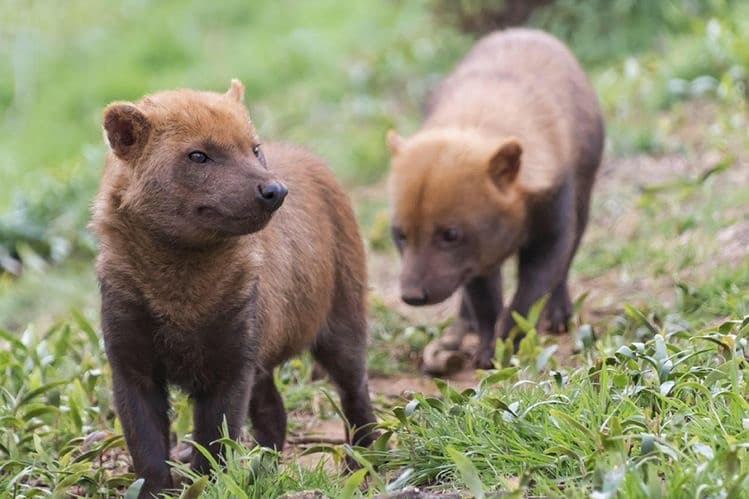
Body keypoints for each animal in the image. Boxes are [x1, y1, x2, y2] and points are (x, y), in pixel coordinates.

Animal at [91, 81, 376, 496]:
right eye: (198, 155)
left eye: (253, 148)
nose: (275, 190)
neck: (181, 301)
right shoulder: (130, 360)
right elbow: (145, 445)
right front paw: (158, 490)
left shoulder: (233, 357)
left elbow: (215, 439)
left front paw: (210, 483)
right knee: (275, 412)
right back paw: (264, 471)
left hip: (343, 317)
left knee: (355, 388)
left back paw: (364, 462)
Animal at [386, 28, 600, 372]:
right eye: (399, 234)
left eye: (450, 234)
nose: (412, 296)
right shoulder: (477, 258)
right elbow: (486, 303)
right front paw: (487, 351)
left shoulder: (554, 222)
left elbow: (531, 291)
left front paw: (509, 344)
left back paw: (559, 314)